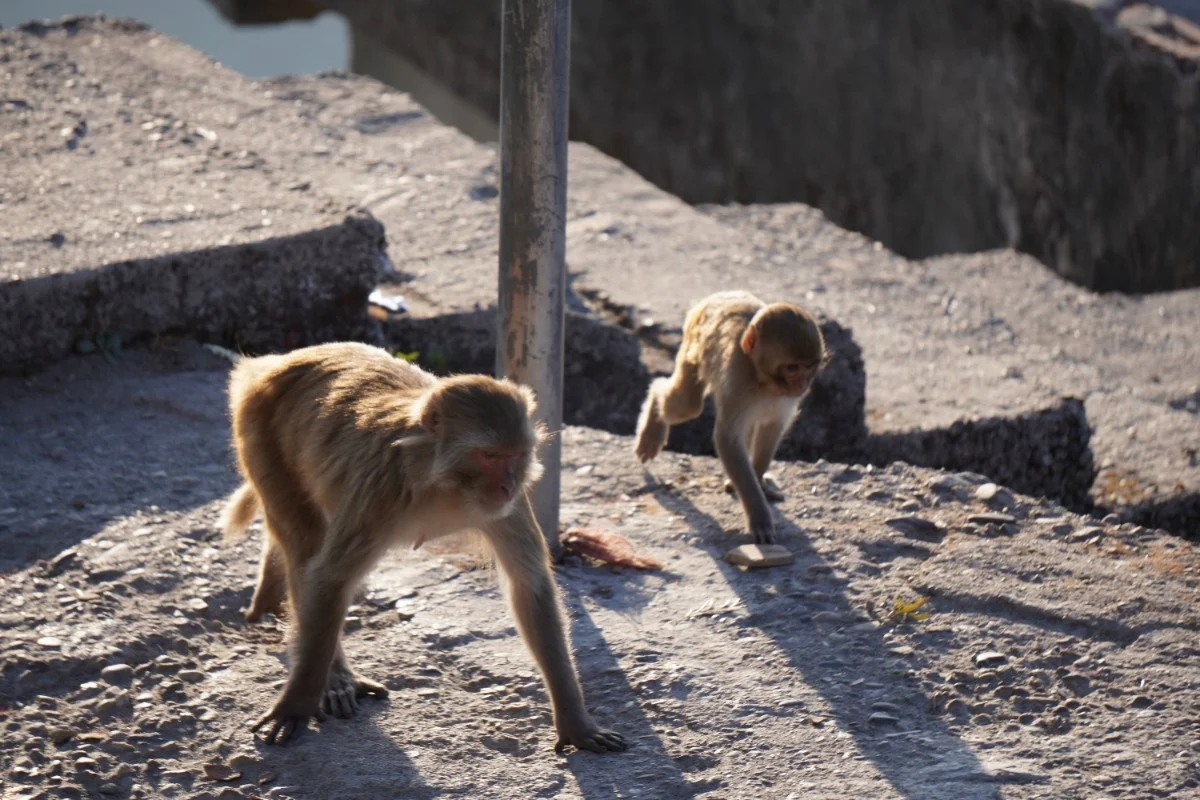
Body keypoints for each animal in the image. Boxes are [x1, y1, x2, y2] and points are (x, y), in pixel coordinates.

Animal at [219, 342, 626, 754]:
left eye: (514, 456)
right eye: (489, 456)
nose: (507, 485)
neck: (444, 481)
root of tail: (275, 363)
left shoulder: (508, 506)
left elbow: (530, 586)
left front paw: (576, 723)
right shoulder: (383, 485)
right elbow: (330, 578)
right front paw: (296, 703)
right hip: (258, 428)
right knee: (305, 547)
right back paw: (334, 676)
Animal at [633, 291, 828, 545]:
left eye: (809, 367)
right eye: (792, 368)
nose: (802, 383)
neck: (763, 381)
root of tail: (715, 297)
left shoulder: (785, 397)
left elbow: (771, 427)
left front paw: (758, 479)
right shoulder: (738, 380)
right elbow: (727, 437)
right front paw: (758, 515)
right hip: (693, 346)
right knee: (687, 405)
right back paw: (653, 423)